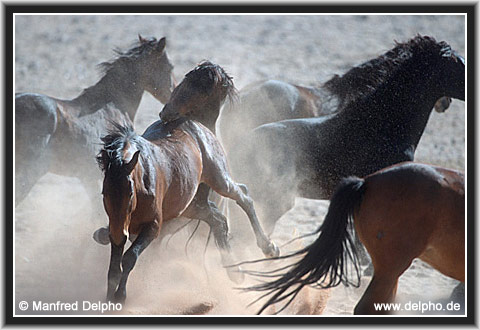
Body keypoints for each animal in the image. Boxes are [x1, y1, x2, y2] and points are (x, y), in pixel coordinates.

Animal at [97, 120, 278, 302]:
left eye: (130, 193)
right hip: (190, 205)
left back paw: (269, 248)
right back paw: (234, 271)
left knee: (244, 197)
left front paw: (120, 295)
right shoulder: (118, 229)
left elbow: (129, 257)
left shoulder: (153, 226)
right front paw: (109, 297)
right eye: (104, 192)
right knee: (216, 219)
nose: (119, 233)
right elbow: (114, 268)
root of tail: (197, 125)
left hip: (219, 179)